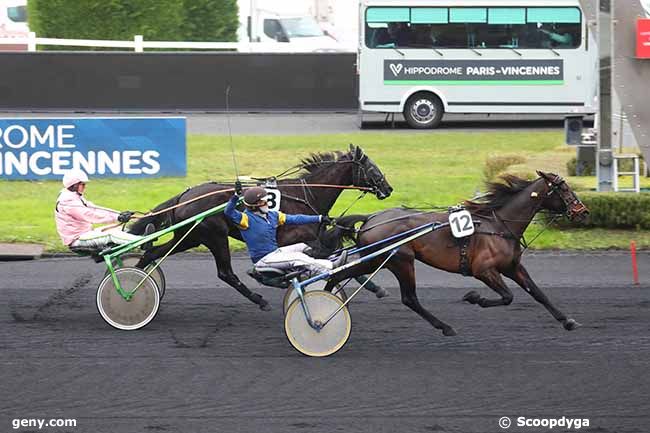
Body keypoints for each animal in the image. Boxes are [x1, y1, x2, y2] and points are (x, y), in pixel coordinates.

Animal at [128, 145, 390, 310]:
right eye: (373, 169)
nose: (388, 189)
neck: (308, 193)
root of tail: (184, 196)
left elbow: (332, 256)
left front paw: (375, 286)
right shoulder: (299, 240)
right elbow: (327, 258)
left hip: (189, 238)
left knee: (152, 253)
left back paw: (137, 283)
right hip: (215, 236)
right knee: (225, 273)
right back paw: (258, 299)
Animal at [322, 170, 588, 336]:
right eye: (564, 188)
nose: (583, 211)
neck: (499, 225)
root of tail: (371, 218)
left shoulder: (512, 267)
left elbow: (538, 293)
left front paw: (567, 320)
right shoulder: (483, 270)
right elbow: (507, 297)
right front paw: (474, 297)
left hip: (378, 259)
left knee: (340, 274)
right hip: (400, 260)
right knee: (409, 298)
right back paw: (445, 327)